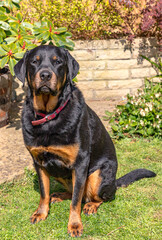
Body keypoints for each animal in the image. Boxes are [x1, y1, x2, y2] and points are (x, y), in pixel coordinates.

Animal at [13, 45, 156, 238]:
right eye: (34, 62)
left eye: (58, 62)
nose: (45, 75)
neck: (49, 116)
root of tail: (115, 182)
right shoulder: (39, 162)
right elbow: (44, 193)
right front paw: (41, 213)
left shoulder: (80, 163)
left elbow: (75, 201)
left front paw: (74, 225)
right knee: (72, 191)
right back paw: (59, 195)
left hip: (97, 176)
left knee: (96, 197)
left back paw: (90, 205)